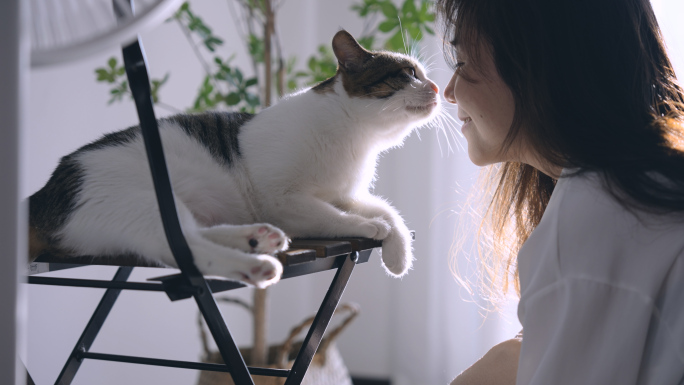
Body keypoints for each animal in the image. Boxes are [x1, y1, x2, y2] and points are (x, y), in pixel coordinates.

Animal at [29, 30, 440, 286]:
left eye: (422, 74)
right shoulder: (282, 200)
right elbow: (334, 216)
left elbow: (389, 209)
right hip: (139, 204)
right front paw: (370, 228)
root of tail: (44, 191)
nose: (436, 87)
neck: (357, 138)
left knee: (189, 234)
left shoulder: (347, 194)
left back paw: (255, 237)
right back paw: (254, 264)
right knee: (183, 248)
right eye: (407, 75)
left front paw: (398, 254)